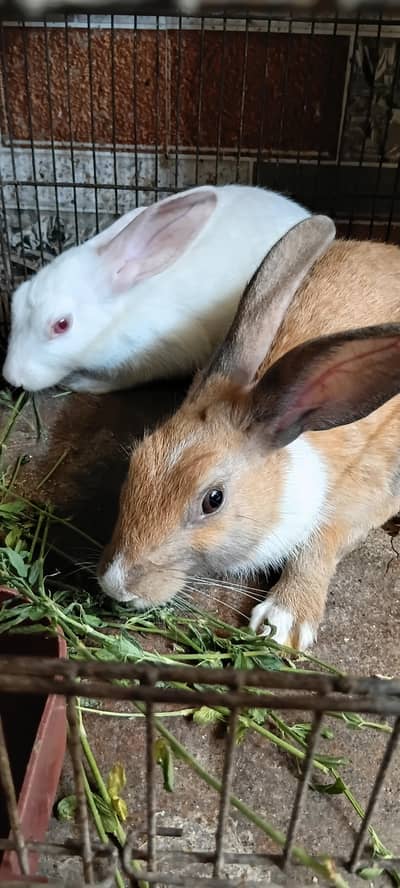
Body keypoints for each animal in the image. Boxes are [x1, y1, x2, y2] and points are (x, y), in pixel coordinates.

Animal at [2, 184, 310, 395]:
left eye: (62, 324)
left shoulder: (159, 353)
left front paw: (83, 383)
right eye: (15, 301)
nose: (11, 377)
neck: (121, 316)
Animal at [97, 213, 400, 650]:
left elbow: (319, 544)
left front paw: (283, 622)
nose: (116, 585)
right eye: (136, 462)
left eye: (213, 500)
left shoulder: (369, 494)